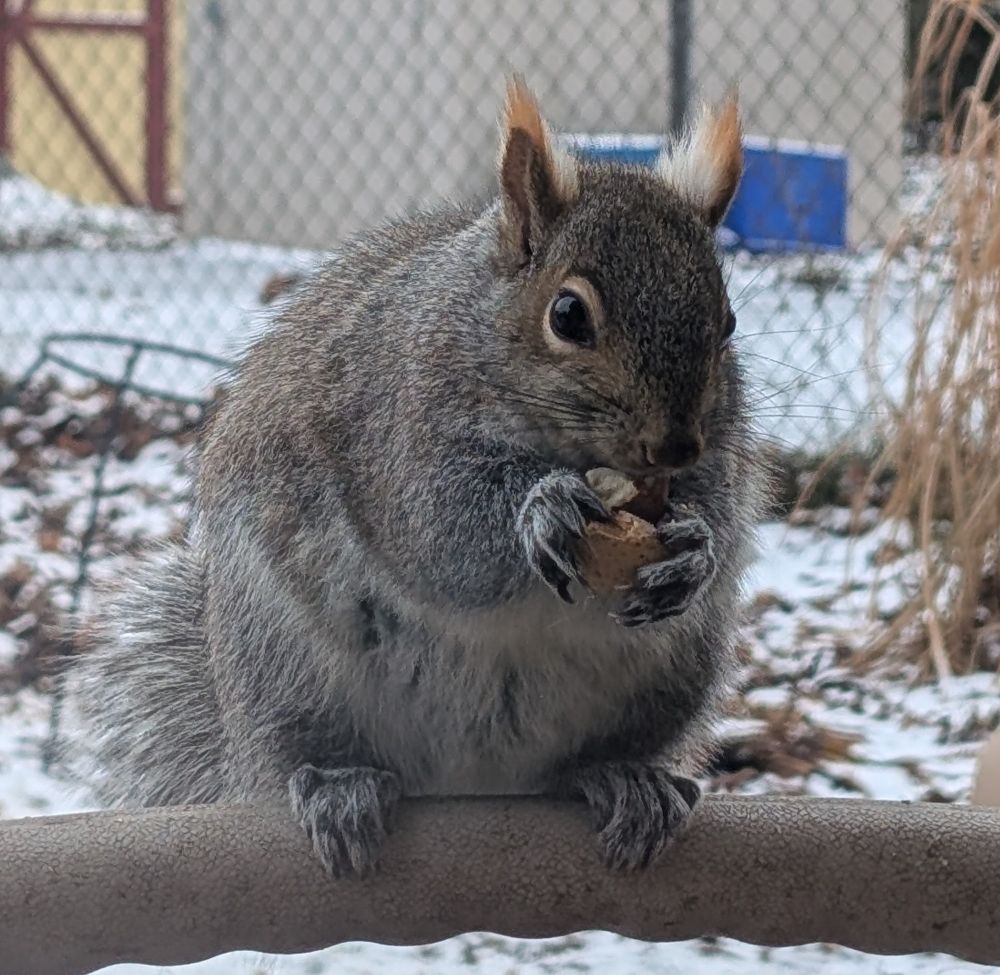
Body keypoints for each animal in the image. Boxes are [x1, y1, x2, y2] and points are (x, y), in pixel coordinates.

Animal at [68, 77, 766, 877]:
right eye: (567, 314)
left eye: (728, 323)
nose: (674, 445)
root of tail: (476, 782)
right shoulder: (393, 429)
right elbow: (438, 533)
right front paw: (541, 509)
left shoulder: (720, 452)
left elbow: (718, 510)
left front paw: (695, 549)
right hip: (286, 662)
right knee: (309, 748)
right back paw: (338, 784)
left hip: (673, 675)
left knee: (591, 760)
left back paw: (625, 777)